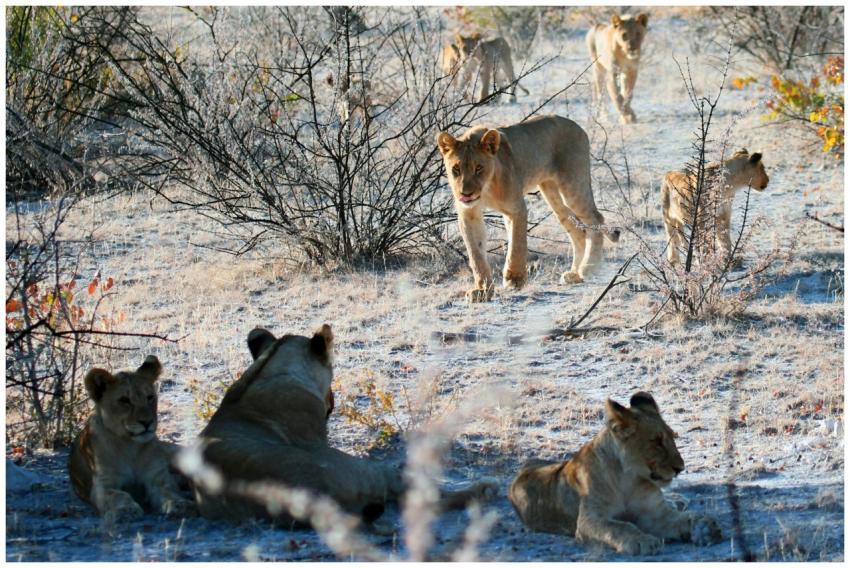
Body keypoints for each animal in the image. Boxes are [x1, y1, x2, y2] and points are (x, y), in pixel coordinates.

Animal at [68, 356, 196, 524]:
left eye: (150, 397)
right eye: (124, 400)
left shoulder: (157, 478)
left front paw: (181, 504)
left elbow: (169, 491)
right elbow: (119, 495)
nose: (147, 422)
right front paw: (126, 510)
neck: (130, 446)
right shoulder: (101, 486)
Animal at [436, 115, 619, 302]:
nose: (466, 193)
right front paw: (483, 290)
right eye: (456, 169)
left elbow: (517, 245)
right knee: (577, 231)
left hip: (573, 187)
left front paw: (514, 279)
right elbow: (476, 255)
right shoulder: (469, 214)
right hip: (552, 195)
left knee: (595, 218)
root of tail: (577, 125)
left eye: (479, 168)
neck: (486, 189)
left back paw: (589, 267)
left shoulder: (516, 209)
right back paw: (574, 274)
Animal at [508, 392, 722, 555]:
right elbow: (620, 526)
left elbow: (685, 518)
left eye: (672, 436)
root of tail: (527, 464)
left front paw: (705, 528)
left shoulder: (655, 514)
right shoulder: (589, 520)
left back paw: (678, 501)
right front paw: (642, 541)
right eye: (657, 441)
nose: (680, 468)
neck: (629, 479)